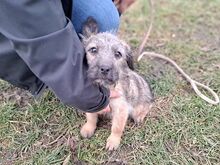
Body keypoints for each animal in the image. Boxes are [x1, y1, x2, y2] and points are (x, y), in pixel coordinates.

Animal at [80, 17, 154, 150]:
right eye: (93, 49)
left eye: (118, 54)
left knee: (149, 106)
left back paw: (140, 116)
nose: (105, 69)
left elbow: (117, 128)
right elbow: (91, 117)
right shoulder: (92, 102)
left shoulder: (121, 109)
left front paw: (113, 141)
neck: (107, 87)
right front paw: (88, 128)